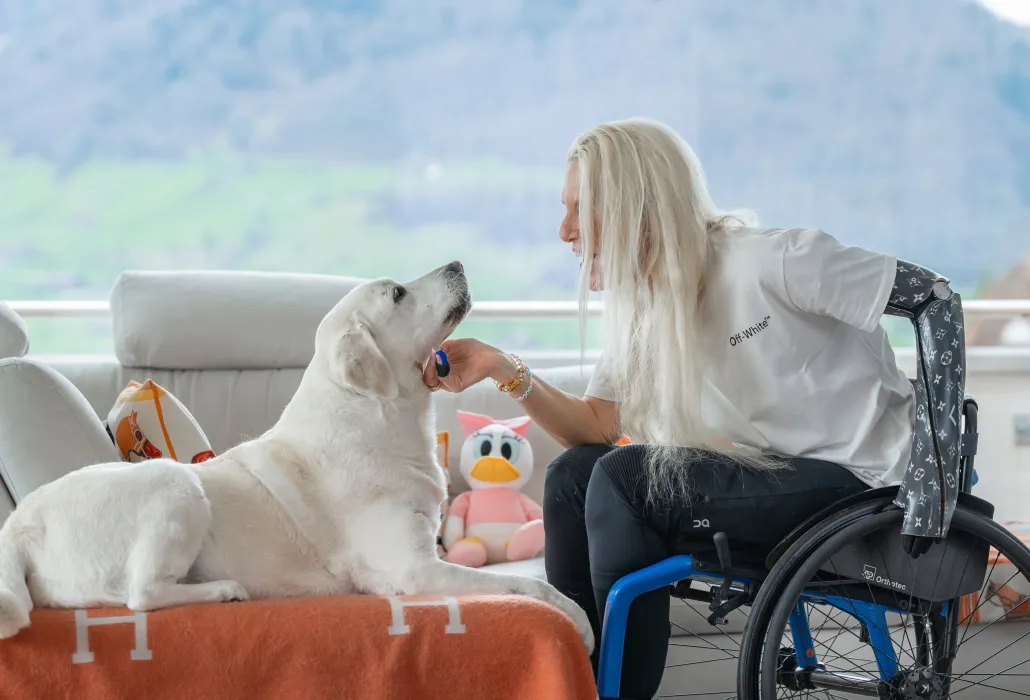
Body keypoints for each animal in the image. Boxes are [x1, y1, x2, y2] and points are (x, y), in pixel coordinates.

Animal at [0, 261, 597, 650]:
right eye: (398, 294)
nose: (456, 262)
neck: (378, 418)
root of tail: (19, 525)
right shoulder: (410, 568)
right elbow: (531, 585)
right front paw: (580, 620)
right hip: (176, 485)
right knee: (140, 596)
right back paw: (222, 591)